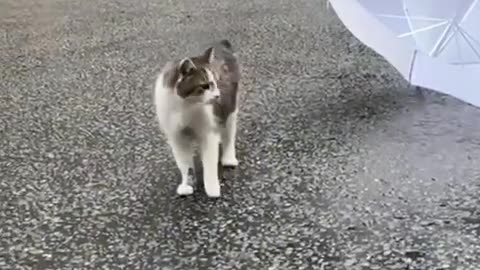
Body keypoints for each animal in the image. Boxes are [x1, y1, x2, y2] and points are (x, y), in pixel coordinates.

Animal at [156, 39, 242, 197]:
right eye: (205, 85)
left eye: (216, 81)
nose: (217, 95)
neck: (185, 107)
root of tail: (221, 43)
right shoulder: (177, 137)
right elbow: (184, 164)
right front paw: (187, 185)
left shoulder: (208, 133)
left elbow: (209, 163)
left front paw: (212, 188)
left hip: (230, 107)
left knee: (229, 134)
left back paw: (228, 158)